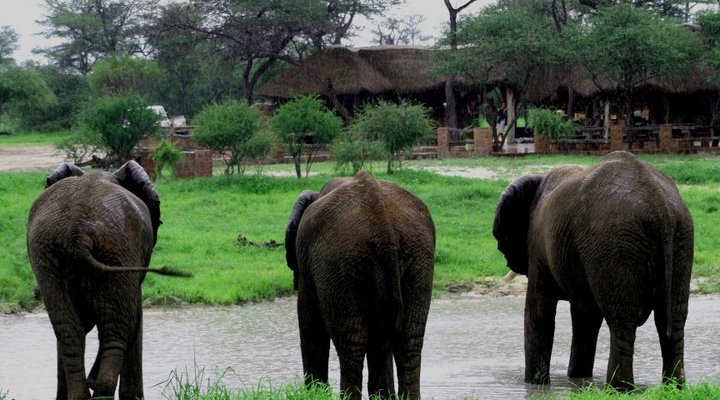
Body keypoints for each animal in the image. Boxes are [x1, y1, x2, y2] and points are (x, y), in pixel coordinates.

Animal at [27, 161, 186, 400]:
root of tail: (78, 231)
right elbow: (134, 317)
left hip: (50, 256)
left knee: (69, 333)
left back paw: (82, 394)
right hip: (117, 248)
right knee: (116, 331)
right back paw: (100, 391)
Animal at [285, 170, 435, 400]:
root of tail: (383, 225)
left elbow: (310, 323)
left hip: (338, 262)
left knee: (352, 345)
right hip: (418, 255)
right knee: (409, 340)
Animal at [492, 151, 693, 389]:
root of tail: (658, 203)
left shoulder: (539, 247)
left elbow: (539, 312)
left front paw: (535, 385)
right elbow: (585, 316)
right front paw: (577, 380)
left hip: (614, 241)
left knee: (622, 320)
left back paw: (620, 388)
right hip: (680, 237)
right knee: (672, 317)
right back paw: (674, 386)